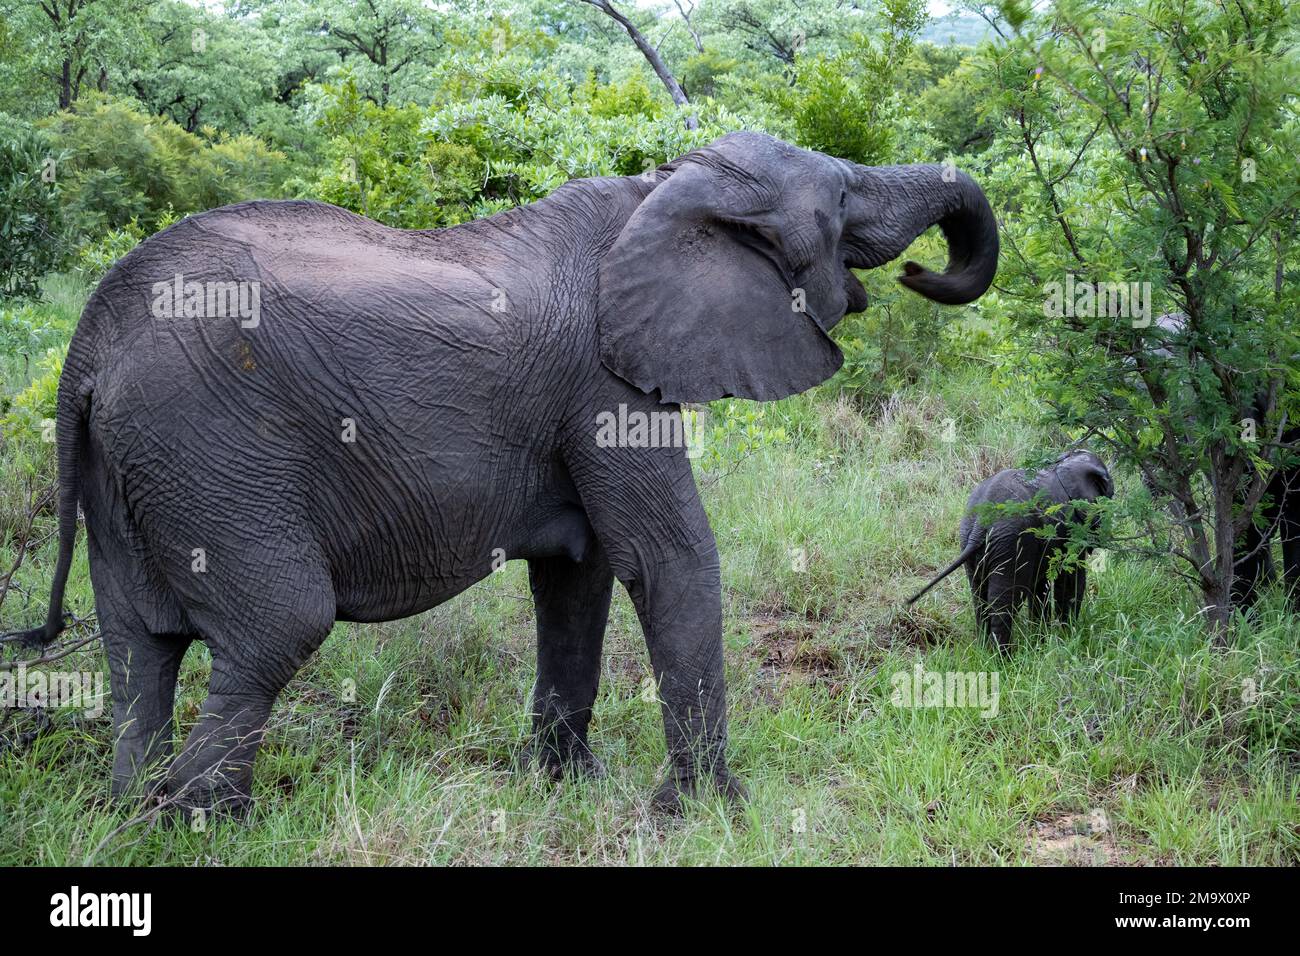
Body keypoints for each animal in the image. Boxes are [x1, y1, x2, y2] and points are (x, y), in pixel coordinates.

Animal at [15, 128, 998, 816]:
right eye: (843, 196)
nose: (919, 268)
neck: (660, 188)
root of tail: (88, 344)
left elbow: (578, 576)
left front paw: (568, 789)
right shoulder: (605, 379)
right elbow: (666, 559)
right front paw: (713, 815)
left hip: (133, 467)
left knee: (139, 650)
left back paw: (131, 815)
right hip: (211, 449)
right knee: (276, 627)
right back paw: (203, 824)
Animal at [909, 450, 1112, 650]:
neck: (1064, 462)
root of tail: (981, 524)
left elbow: (1041, 585)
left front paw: (1041, 641)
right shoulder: (1072, 526)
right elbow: (1071, 579)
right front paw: (1067, 636)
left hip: (971, 537)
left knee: (980, 596)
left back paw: (985, 651)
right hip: (1012, 542)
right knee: (1005, 601)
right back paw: (1002, 656)